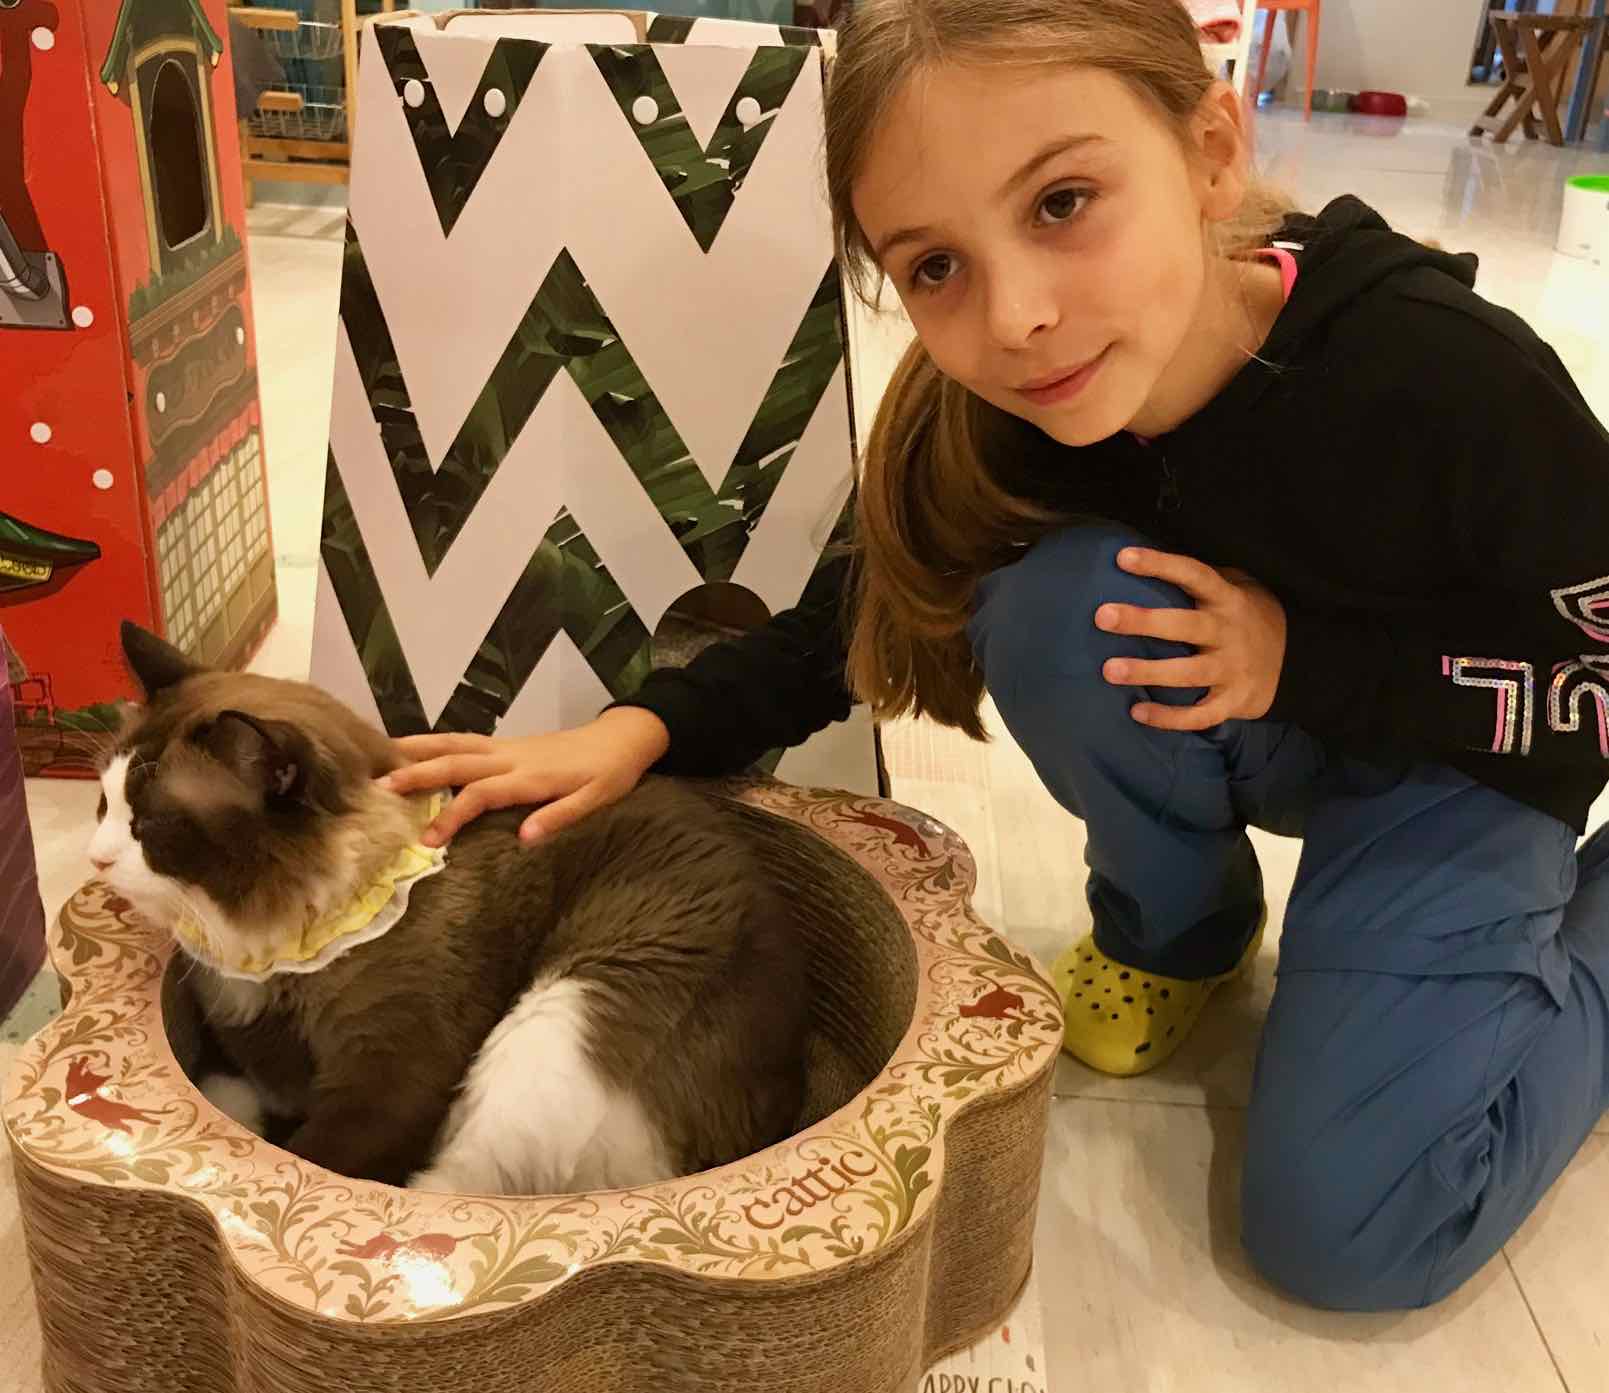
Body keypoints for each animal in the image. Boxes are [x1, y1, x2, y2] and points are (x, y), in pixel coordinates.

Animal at [88, 622, 812, 1194]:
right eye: (103, 804)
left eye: (151, 827)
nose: (96, 859)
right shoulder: (252, 1057)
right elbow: (237, 1094)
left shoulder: (386, 1085)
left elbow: (312, 1155)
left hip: (561, 1017)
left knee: (455, 1186)